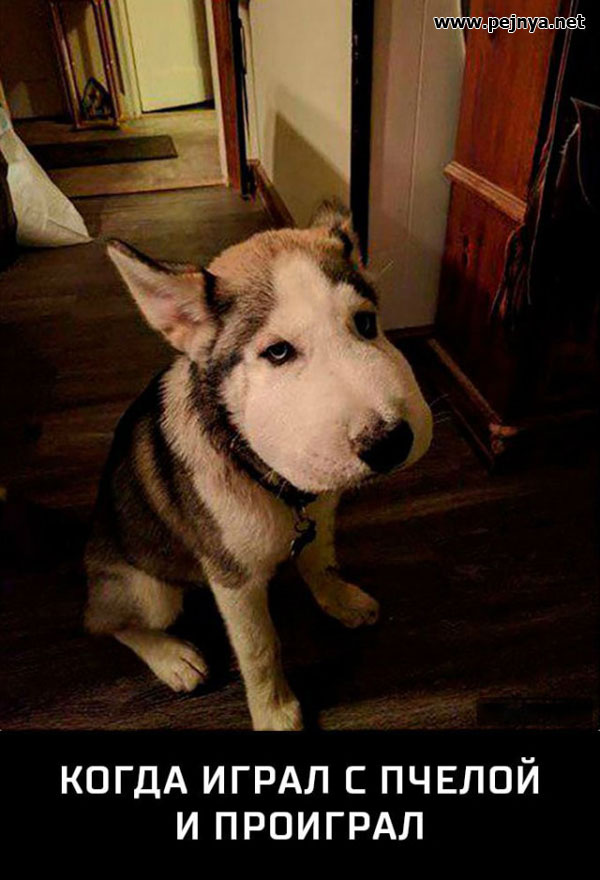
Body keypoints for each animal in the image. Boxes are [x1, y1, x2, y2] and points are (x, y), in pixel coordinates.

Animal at [84, 202, 433, 730]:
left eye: (366, 324)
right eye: (278, 352)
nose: (391, 443)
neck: (260, 472)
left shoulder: (319, 516)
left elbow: (320, 561)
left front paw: (338, 599)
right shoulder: (234, 582)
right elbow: (260, 649)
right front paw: (274, 712)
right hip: (150, 593)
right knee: (106, 623)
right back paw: (170, 656)